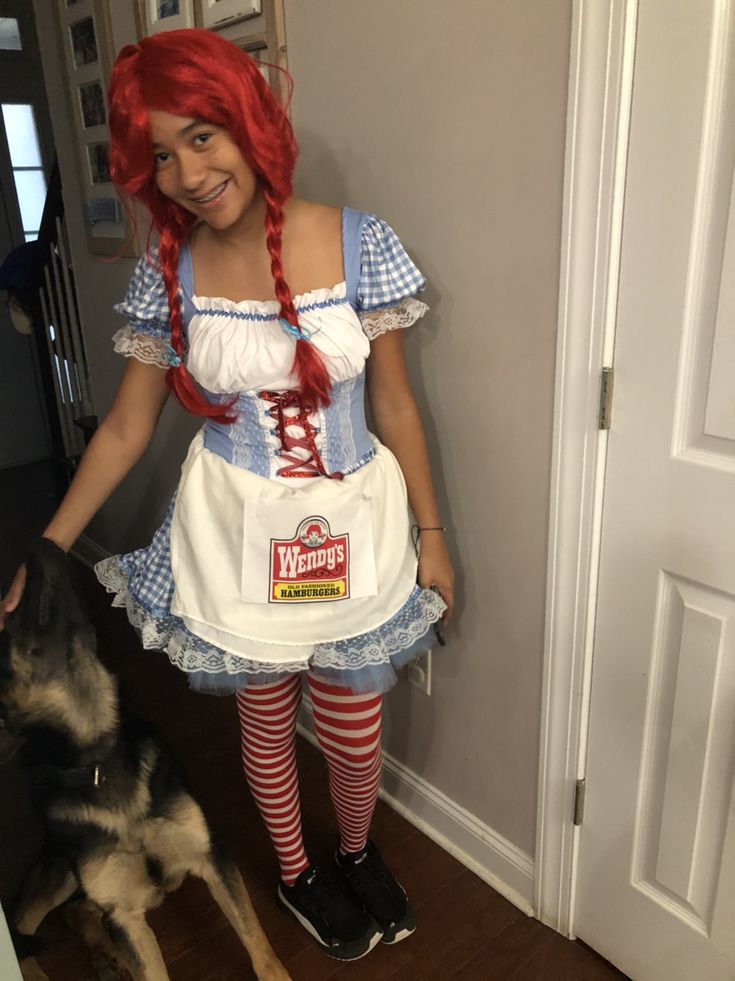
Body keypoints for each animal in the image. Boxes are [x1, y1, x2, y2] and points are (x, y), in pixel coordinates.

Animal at [0, 536, 290, 980]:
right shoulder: (125, 914)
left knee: (77, 913)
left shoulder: (210, 858)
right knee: (29, 928)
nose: (42, 542)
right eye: (9, 622)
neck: (98, 759)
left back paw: (107, 957)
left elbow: (259, 946)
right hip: (62, 870)